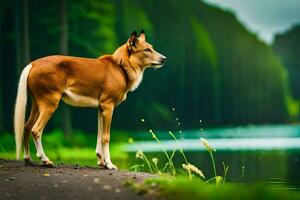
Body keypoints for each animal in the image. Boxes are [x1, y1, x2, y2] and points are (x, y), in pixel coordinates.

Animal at [14, 30, 166, 170]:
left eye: (151, 48)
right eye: (146, 50)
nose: (164, 58)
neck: (121, 67)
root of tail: (32, 64)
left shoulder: (100, 107)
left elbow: (99, 135)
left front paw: (101, 161)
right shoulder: (108, 106)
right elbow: (106, 137)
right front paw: (109, 164)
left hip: (37, 104)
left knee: (26, 127)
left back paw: (28, 158)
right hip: (50, 103)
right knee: (36, 130)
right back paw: (45, 160)